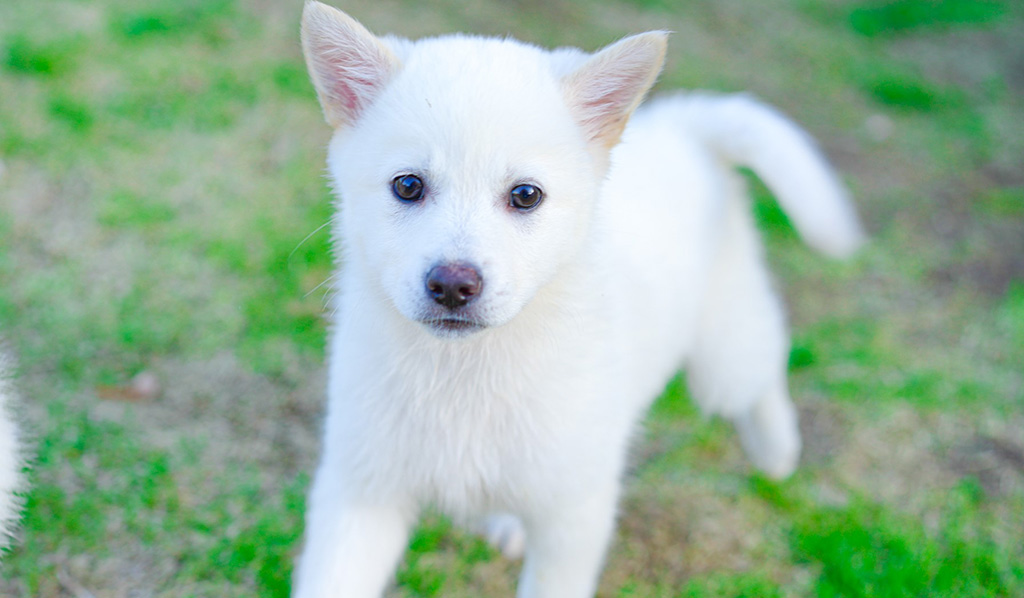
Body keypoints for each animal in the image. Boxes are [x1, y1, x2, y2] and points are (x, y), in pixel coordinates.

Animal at [293, 2, 863, 596]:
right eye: (407, 186)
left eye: (525, 195)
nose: (452, 285)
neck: (466, 373)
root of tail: (682, 127)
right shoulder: (361, 494)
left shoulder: (573, 516)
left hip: (722, 359)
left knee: (763, 365)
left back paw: (777, 450)